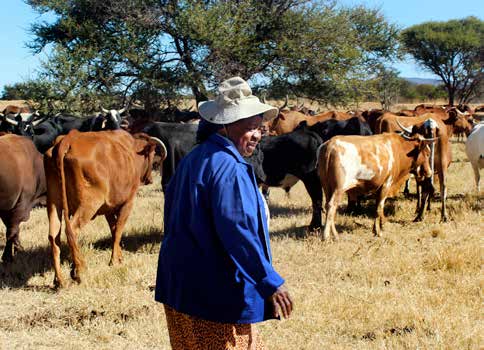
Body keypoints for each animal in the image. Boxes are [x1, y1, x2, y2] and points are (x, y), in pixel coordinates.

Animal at [45, 129, 166, 288]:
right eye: (151, 155)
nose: (150, 179)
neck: (132, 150)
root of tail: (68, 139)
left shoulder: (108, 208)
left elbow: (114, 230)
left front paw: (119, 257)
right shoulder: (128, 203)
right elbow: (119, 229)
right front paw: (114, 260)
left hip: (54, 204)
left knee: (53, 237)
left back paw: (59, 280)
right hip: (88, 205)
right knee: (71, 230)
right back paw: (79, 270)